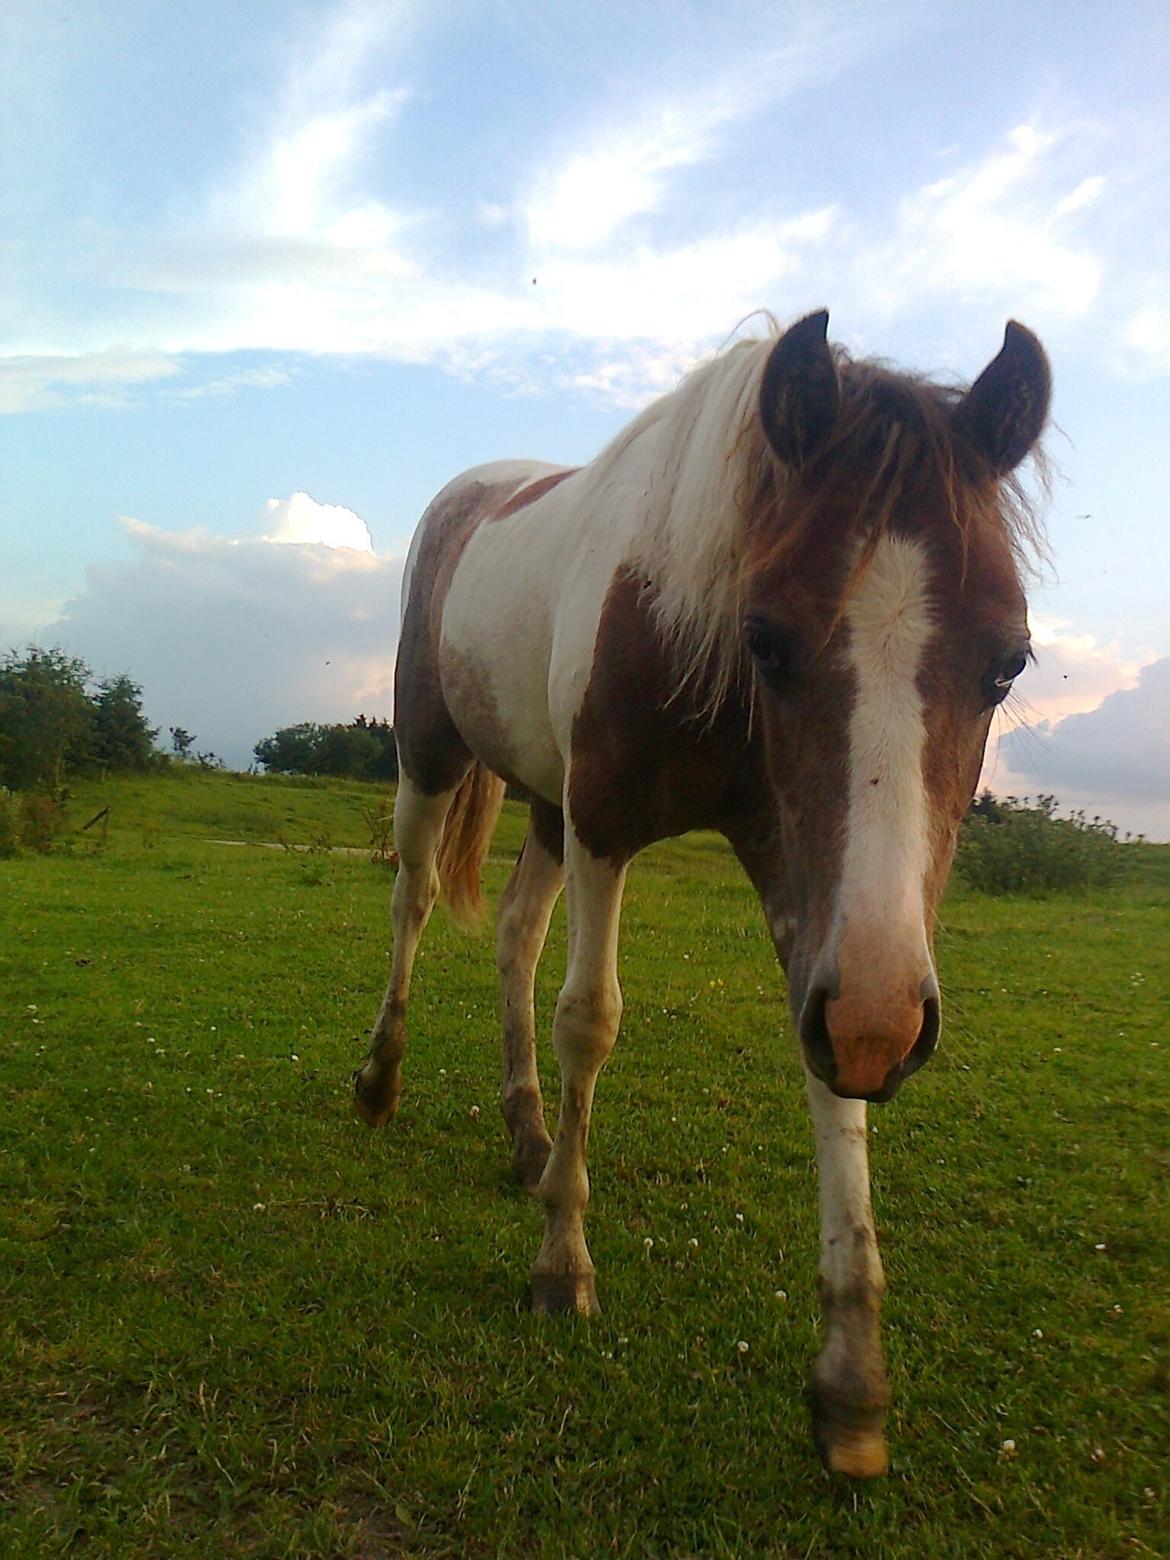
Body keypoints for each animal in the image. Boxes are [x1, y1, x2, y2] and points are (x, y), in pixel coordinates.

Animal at [352, 310, 1048, 1478]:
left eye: (1009, 663)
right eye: (766, 638)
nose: (889, 1025)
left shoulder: (802, 885)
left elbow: (830, 1078)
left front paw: (852, 1382)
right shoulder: (606, 826)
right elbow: (590, 1021)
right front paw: (562, 1263)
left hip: (546, 805)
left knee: (514, 937)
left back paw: (528, 1134)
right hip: (432, 759)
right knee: (413, 910)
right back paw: (380, 1082)